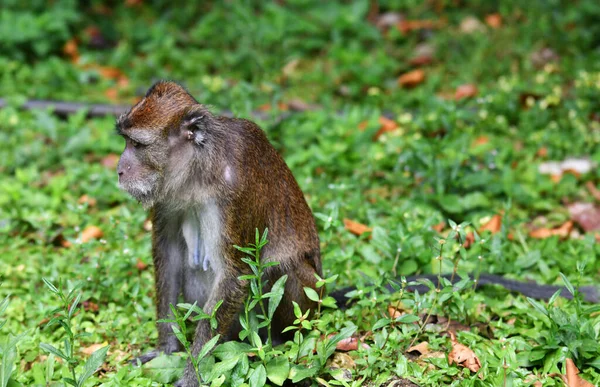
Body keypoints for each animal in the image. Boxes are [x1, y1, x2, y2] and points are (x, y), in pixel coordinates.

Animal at [118, 80, 324, 386]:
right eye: (126, 141)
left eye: (137, 144)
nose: (120, 169)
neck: (198, 169)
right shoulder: (167, 192)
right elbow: (169, 255)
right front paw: (166, 350)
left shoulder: (236, 189)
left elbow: (235, 273)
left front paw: (192, 374)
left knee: (281, 269)